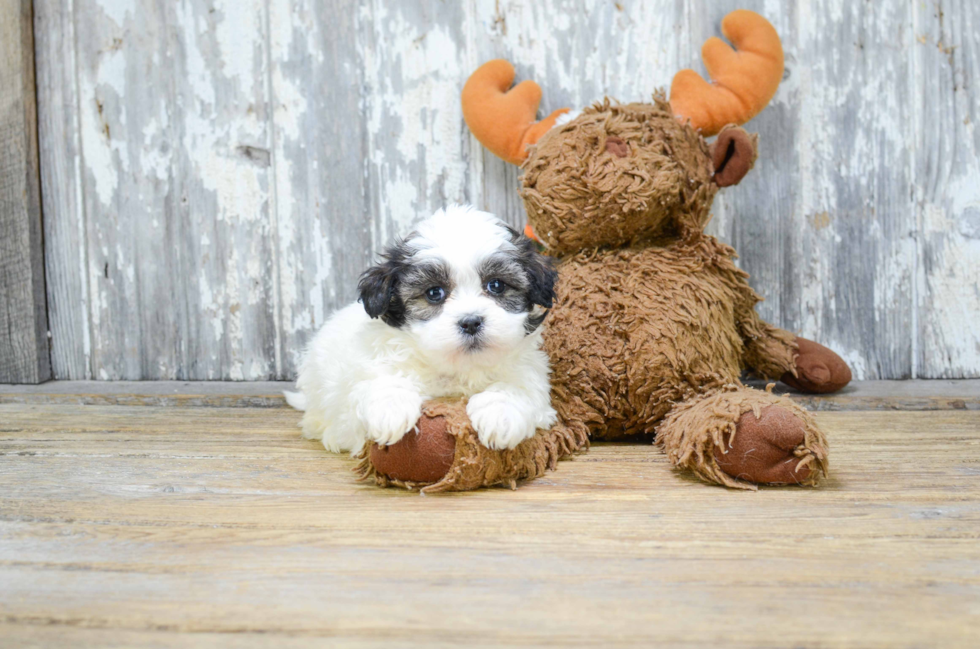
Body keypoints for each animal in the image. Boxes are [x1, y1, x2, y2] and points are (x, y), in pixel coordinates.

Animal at [286, 205, 560, 454]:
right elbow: (382, 381)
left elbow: (516, 387)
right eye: (434, 293)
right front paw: (391, 410)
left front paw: (500, 415)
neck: (456, 369)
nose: (471, 322)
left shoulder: (531, 376)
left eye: (496, 286)